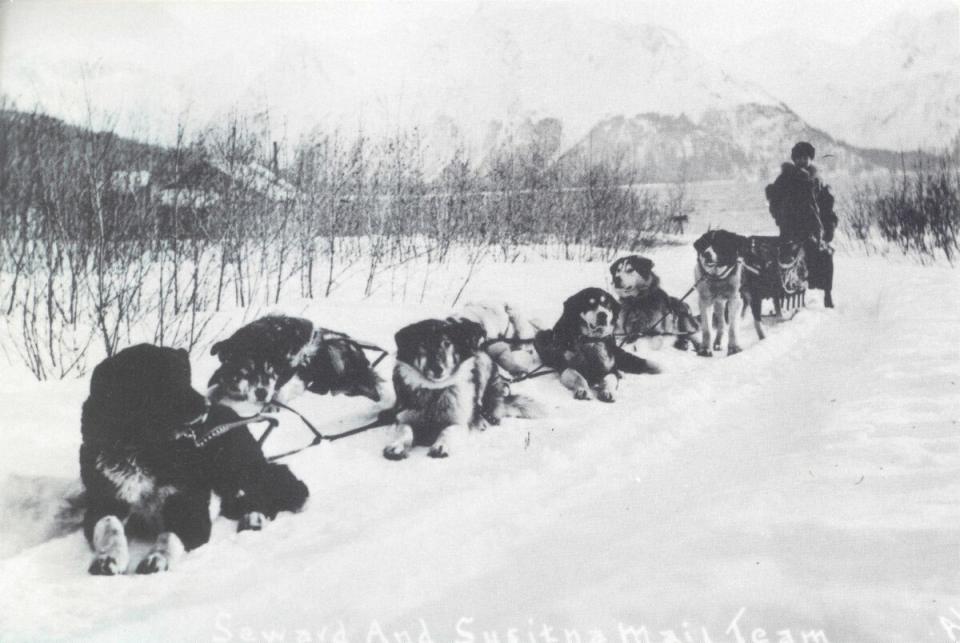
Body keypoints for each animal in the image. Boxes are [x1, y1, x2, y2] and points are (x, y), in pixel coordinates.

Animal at [82, 344, 310, 576]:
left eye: (185, 376)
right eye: (161, 380)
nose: (206, 405)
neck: (146, 448)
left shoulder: (190, 506)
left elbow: (169, 535)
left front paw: (157, 557)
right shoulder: (104, 502)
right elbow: (109, 525)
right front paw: (110, 557)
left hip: (237, 466)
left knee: (271, 490)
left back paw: (254, 517)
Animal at [384, 316, 548, 458]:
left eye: (447, 343)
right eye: (422, 345)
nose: (437, 369)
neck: (436, 391)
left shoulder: (459, 421)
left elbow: (448, 430)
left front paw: (441, 445)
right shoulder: (404, 417)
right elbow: (405, 430)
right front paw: (396, 445)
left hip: (484, 369)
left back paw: (482, 421)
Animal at [532, 288, 660, 402]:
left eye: (606, 304)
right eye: (589, 304)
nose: (603, 315)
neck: (591, 340)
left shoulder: (609, 368)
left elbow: (609, 379)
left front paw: (608, 391)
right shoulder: (566, 367)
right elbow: (578, 376)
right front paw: (583, 390)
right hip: (542, 336)